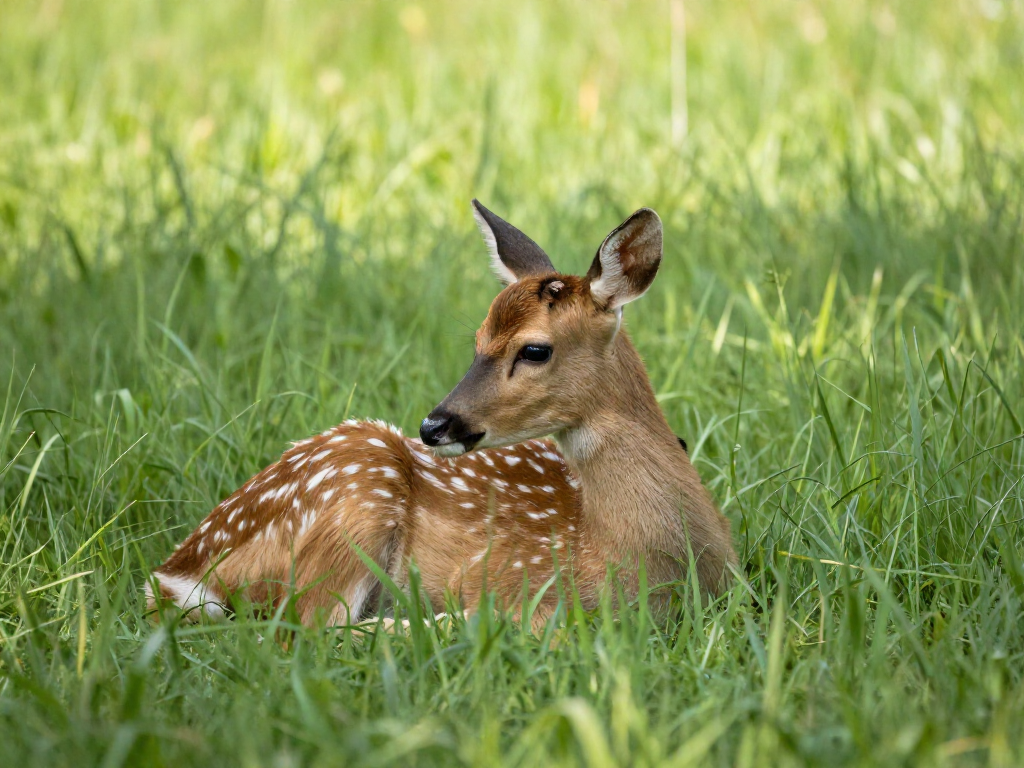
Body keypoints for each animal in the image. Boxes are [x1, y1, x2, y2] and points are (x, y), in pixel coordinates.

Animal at [146, 201, 737, 630]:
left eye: (535, 349)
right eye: (477, 340)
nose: (434, 425)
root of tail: (177, 570)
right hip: (357, 489)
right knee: (310, 631)